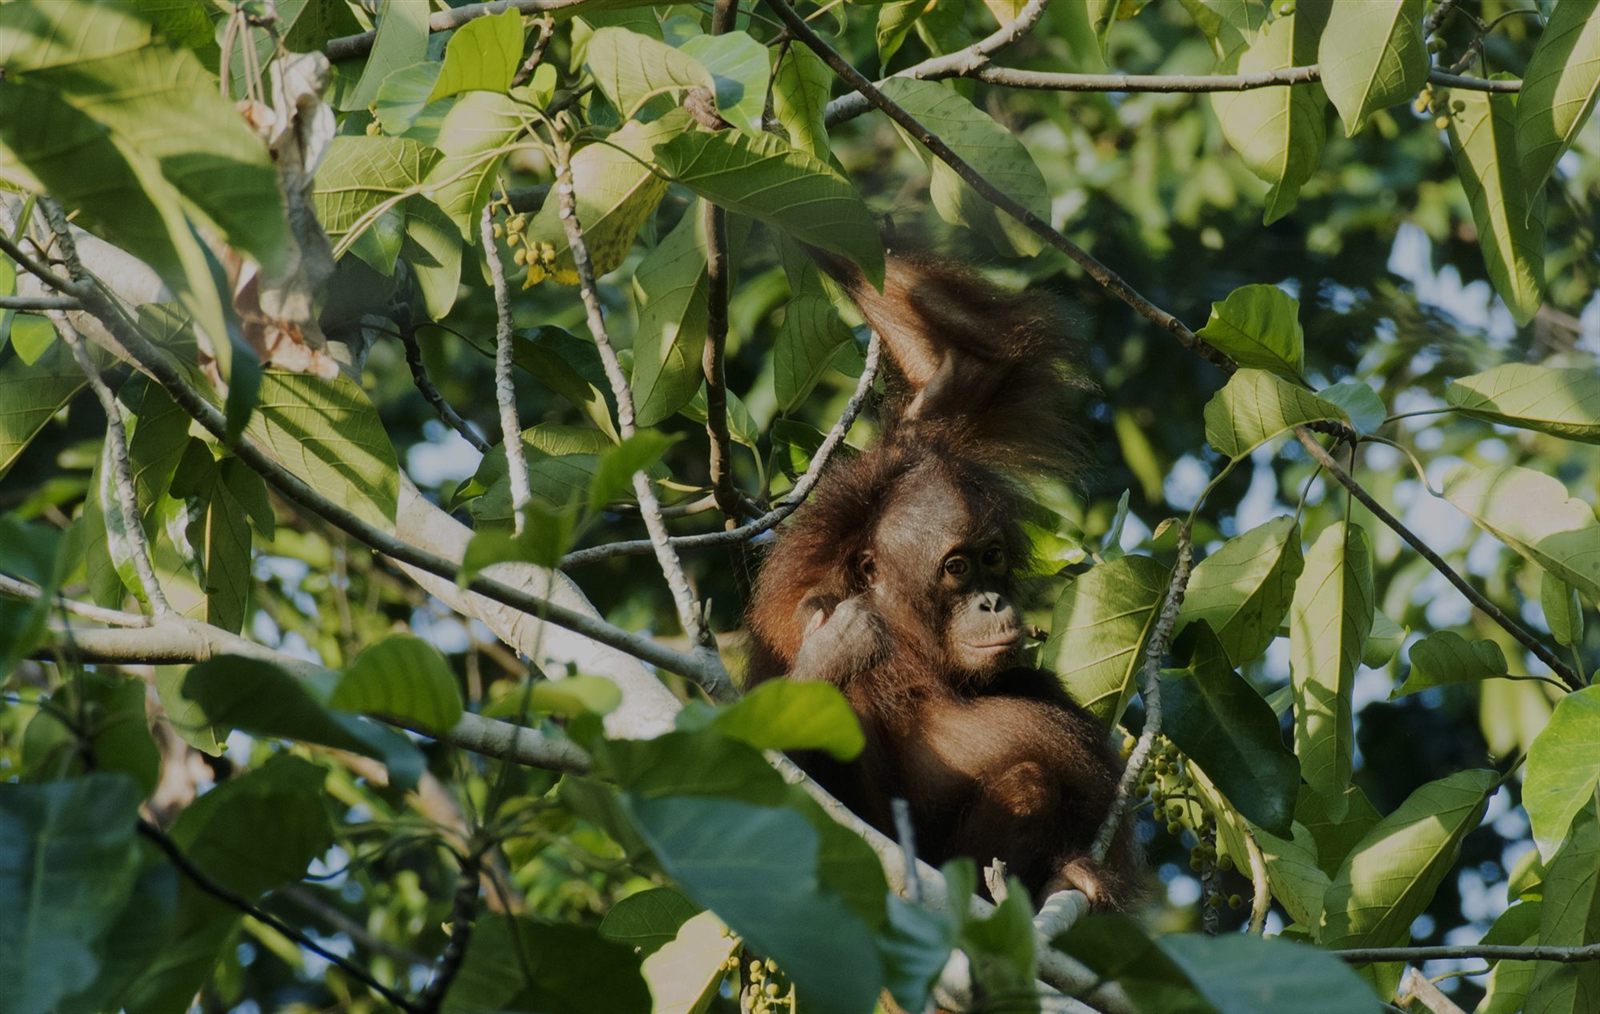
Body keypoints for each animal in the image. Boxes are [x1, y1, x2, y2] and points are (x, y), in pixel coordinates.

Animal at [745, 253, 1142, 910]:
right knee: (1029, 780)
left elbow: (967, 368)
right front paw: (828, 659)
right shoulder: (808, 617)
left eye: (991, 558)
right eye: (956, 567)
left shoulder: (919, 444)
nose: (991, 601)